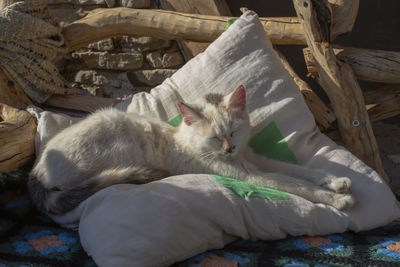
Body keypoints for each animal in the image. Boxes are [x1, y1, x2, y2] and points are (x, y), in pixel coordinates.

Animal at [28, 86, 354, 216]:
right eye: (215, 138)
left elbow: (298, 171)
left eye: (233, 132)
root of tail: (36, 171)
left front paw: (334, 180)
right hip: (116, 147)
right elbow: (295, 184)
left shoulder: (254, 159)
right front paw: (337, 199)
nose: (229, 148)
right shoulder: (251, 175)